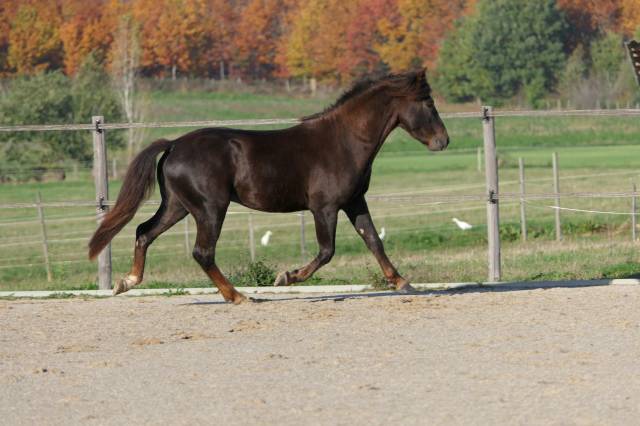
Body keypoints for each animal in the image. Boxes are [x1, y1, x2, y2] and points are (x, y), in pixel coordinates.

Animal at [89, 69, 450, 302]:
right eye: (429, 104)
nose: (443, 141)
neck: (344, 141)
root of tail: (175, 144)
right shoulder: (325, 207)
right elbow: (327, 251)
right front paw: (286, 277)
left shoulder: (354, 202)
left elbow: (373, 240)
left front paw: (402, 283)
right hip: (210, 208)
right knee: (202, 251)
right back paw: (238, 296)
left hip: (178, 206)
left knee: (144, 232)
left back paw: (127, 282)